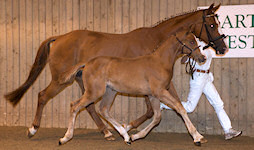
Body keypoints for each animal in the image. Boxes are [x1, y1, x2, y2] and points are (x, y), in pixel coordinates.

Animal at [59, 29, 206, 146]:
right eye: (191, 42)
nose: (202, 58)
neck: (160, 62)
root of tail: (87, 63)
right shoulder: (160, 92)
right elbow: (179, 107)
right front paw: (197, 137)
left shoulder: (153, 95)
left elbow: (157, 117)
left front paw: (135, 136)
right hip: (94, 92)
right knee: (75, 106)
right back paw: (65, 138)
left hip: (110, 92)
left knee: (103, 109)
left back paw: (125, 136)